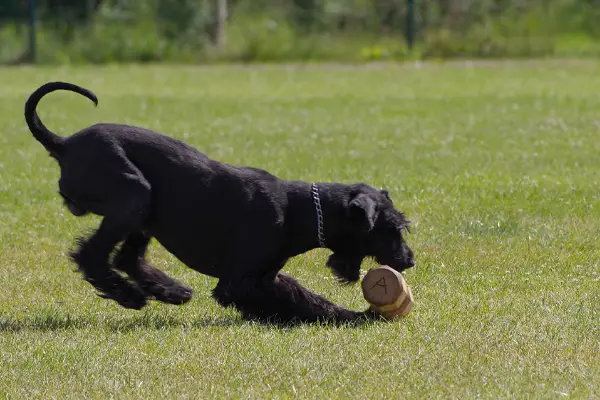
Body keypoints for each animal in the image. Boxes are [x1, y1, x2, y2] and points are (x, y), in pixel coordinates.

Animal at [25, 83, 414, 324]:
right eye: (392, 229)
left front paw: (353, 315)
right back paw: (129, 295)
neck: (299, 211)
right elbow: (297, 302)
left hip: (144, 212)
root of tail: (64, 144)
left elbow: (302, 296)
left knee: (126, 257)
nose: (409, 260)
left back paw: (171, 290)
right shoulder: (240, 282)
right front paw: (353, 318)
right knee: (91, 254)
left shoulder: (266, 275)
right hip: (134, 195)